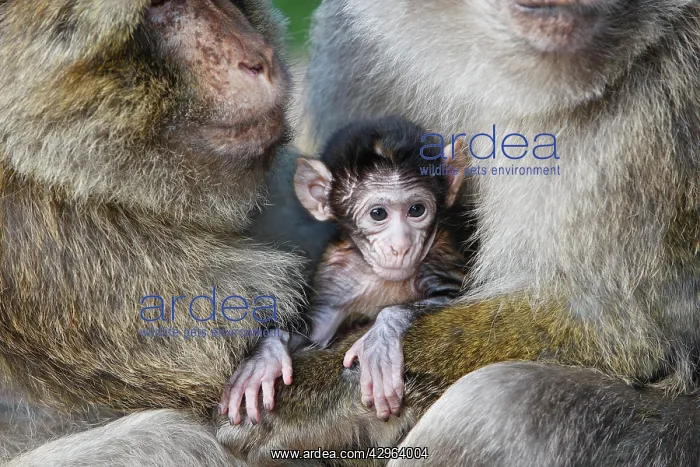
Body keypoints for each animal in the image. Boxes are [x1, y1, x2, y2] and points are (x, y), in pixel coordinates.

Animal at [220, 117, 469, 425]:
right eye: (378, 214)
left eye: (416, 209)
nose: (400, 246)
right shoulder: (336, 273)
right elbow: (316, 334)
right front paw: (265, 357)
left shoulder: (439, 255)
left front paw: (381, 338)